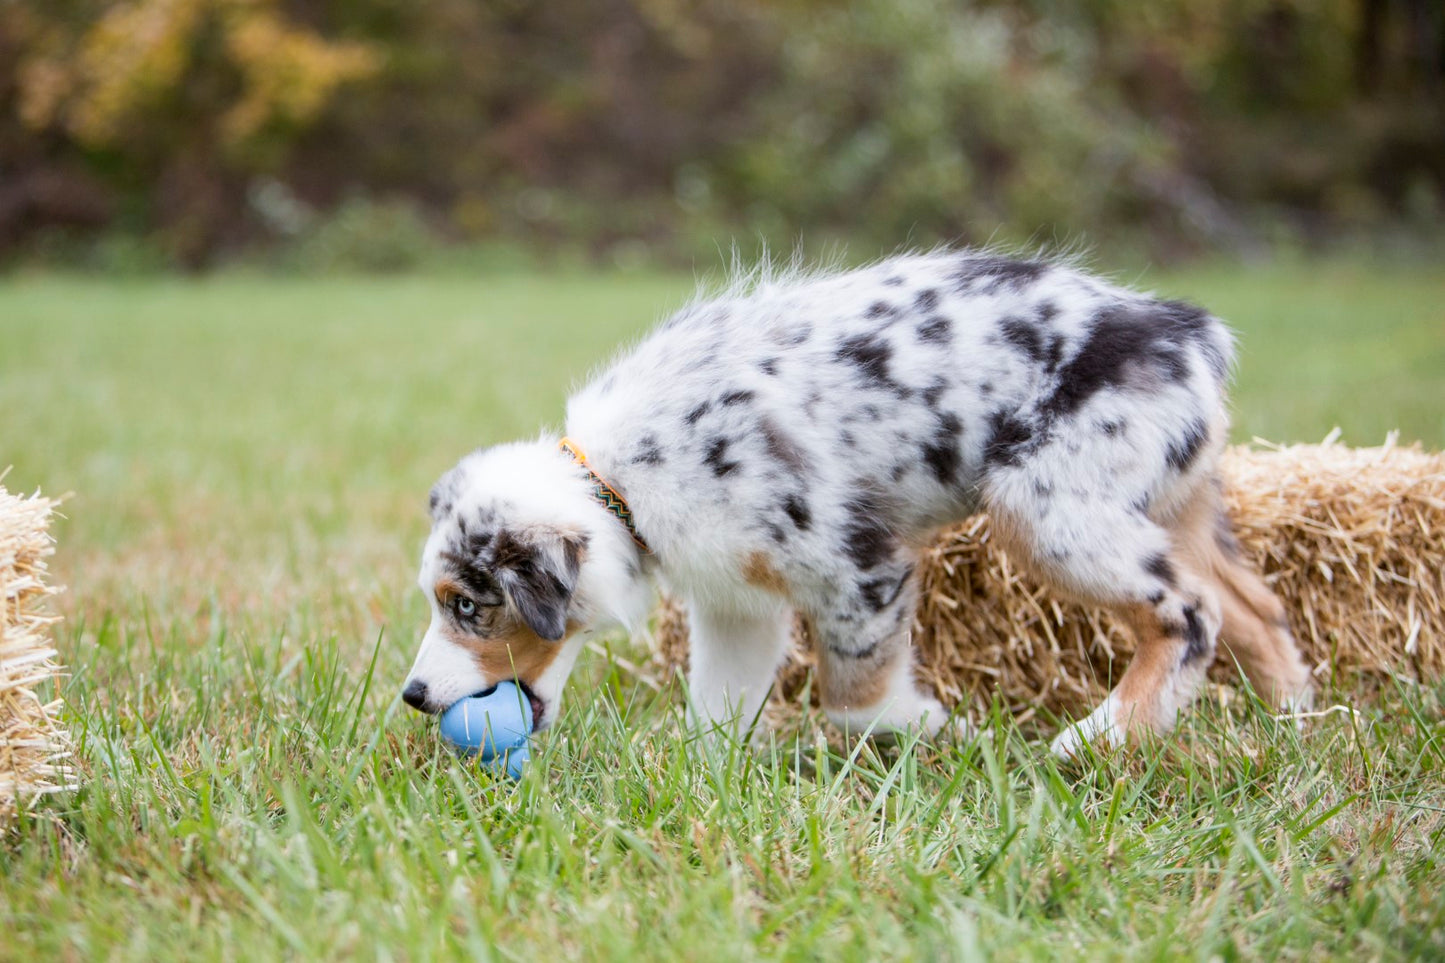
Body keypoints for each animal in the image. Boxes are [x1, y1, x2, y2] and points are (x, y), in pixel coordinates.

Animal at [401, 244, 1317, 751]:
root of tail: (1182, 334)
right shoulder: (738, 600)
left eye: (469, 606)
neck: (617, 478)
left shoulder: (857, 566)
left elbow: (853, 698)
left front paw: (940, 730)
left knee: (1191, 612)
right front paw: (707, 782)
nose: (410, 696)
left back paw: (1100, 736)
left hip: (1048, 506)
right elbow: (717, 704)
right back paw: (1292, 724)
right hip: (1166, 502)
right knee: (1256, 608)